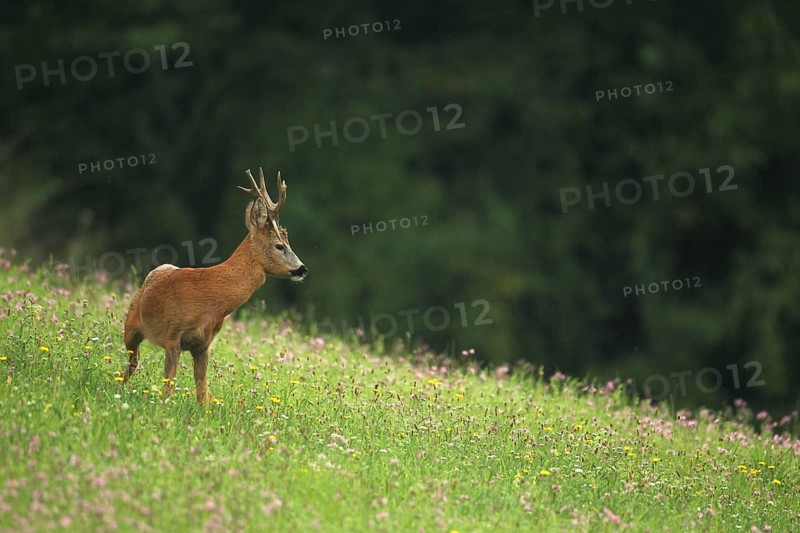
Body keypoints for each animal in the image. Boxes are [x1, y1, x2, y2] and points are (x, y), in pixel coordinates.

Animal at [120, 167, 308, 403]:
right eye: (279, 246)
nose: (302, 269)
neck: (212, 300)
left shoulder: (204, 345)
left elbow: (203, 394)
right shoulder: (173, 335)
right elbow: (168, 385)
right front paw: (163, 406)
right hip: (130, 325)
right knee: (132, 361)